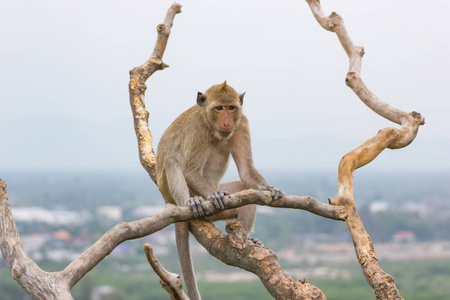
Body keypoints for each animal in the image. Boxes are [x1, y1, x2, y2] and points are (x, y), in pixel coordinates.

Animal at [155, 81, 282, 298]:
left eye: (231, 108)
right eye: (219, 108)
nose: (227, 123)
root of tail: (169, 201)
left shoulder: (241, 124)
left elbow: (246, 172)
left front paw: (269, 188)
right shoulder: (198, 130)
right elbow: (190, 171)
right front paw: (212, 195)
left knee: (245, 192)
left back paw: (247, 240)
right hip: (172, 190)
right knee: (172, 161)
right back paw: (191, 202)